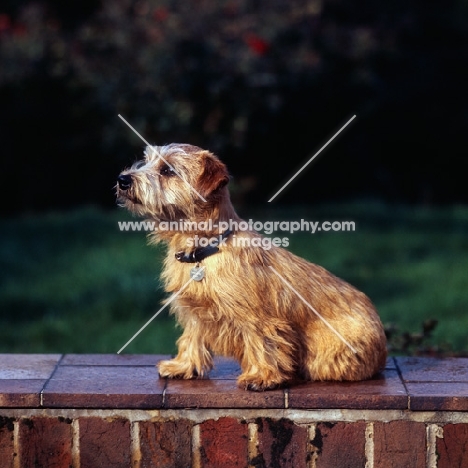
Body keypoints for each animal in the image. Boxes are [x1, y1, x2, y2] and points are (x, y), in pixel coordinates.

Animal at [115, 144, 386, 392]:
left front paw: (262, 377)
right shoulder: (194, 312)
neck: (206, 249)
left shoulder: (257, 317)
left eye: (167, 170)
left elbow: (262, 343)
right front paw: (183, 366)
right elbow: (191, 338)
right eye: (146, 160)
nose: (122, 179)